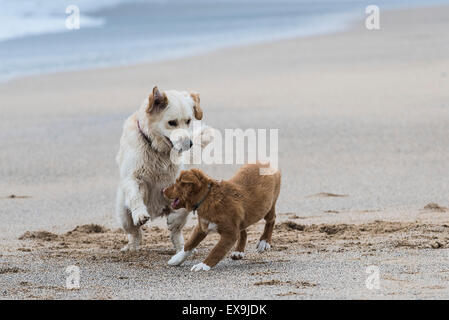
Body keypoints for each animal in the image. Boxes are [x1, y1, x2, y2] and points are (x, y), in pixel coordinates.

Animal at [115, 86, 206, 251]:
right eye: (172, 122)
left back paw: (180, 244)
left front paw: (175, 220)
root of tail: (156, 211)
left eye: (188, 121)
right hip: (123, 216)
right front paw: (140, 214)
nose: (189, 144)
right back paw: (131, 247)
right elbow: (135, 195)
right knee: (135, 233)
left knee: (176, 231)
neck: (158, 150)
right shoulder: (133, 177)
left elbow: (183, 209)